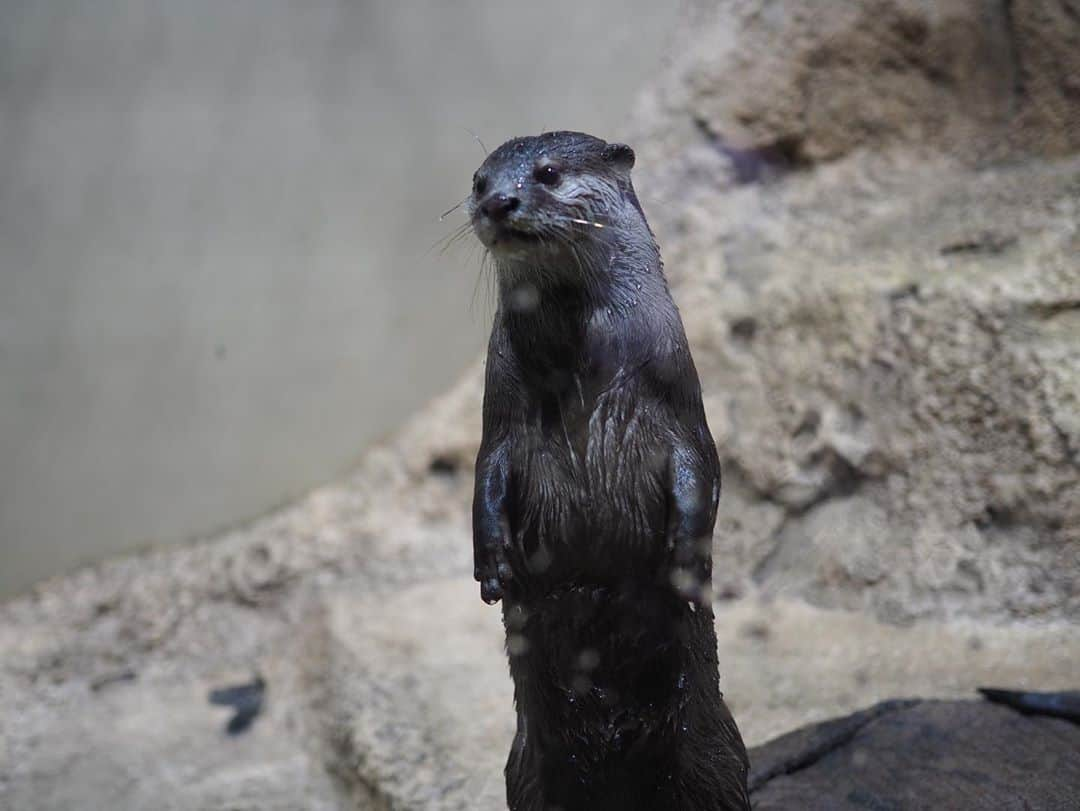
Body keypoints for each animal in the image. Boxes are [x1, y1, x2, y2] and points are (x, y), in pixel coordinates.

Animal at [468, 130, 747, 807]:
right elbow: (486, 478)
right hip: (525, 771)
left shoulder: (678, 401)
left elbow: (700, 470)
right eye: (479, 181)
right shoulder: (501, 416)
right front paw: (493, 563)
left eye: (547, 172)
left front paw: (685, 559)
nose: (499, 202)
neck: (582, 366)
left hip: (719, 759)